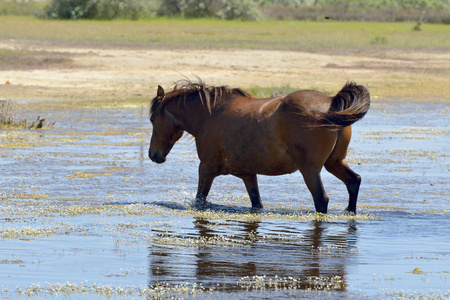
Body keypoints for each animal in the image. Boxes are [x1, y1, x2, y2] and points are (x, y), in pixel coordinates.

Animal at [149, 79, 370, 213]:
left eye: (152, 119)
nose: (153, 155)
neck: (209, 115)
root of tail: (331, 102)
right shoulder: (248, 175)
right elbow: (257, 203)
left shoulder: (206, 169)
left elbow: (199, 200)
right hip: (335, 163)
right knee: (354, 182)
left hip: (310, 170)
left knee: (321, 199)